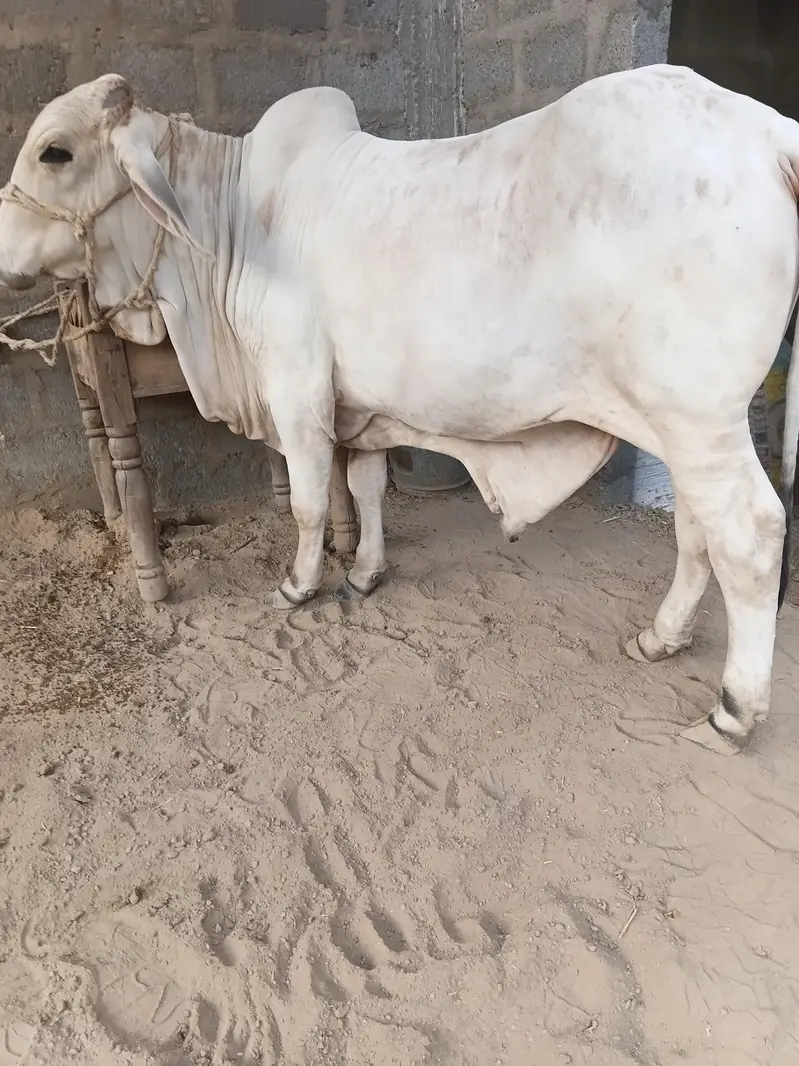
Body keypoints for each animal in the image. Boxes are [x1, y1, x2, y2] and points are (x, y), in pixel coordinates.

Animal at [0, 65, 797, 758]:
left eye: (55, 151)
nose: (4, 258)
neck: (233, 222)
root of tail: (770, 130)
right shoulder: (363, 408)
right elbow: (366, 489)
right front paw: (364, 574)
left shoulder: (295, 387)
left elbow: (310, 505)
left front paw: (299, 585)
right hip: (681, 423)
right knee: (696, 529)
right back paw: (662, 637)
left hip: (699, 417)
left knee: (751, 534)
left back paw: (731, 710)